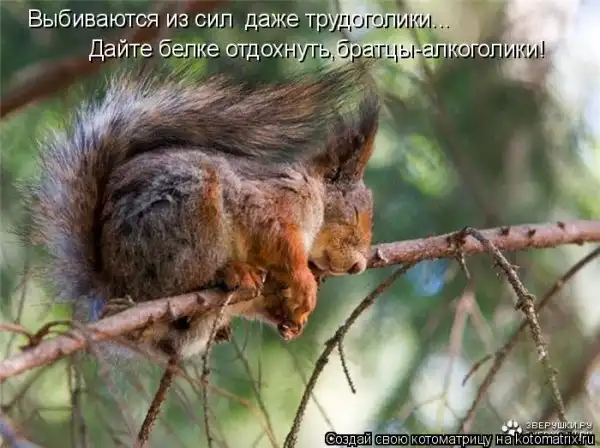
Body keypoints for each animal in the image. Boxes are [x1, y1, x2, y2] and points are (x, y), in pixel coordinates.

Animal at [26, 62, 380, 359]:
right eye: (354, 216)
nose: (359, 266)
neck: (313, 197)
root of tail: (115, 284)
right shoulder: (271, 204)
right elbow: (278, 243)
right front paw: (305, 283)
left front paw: (293, 319)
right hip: (190, 216)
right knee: (181, 280)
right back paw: (230, 272)